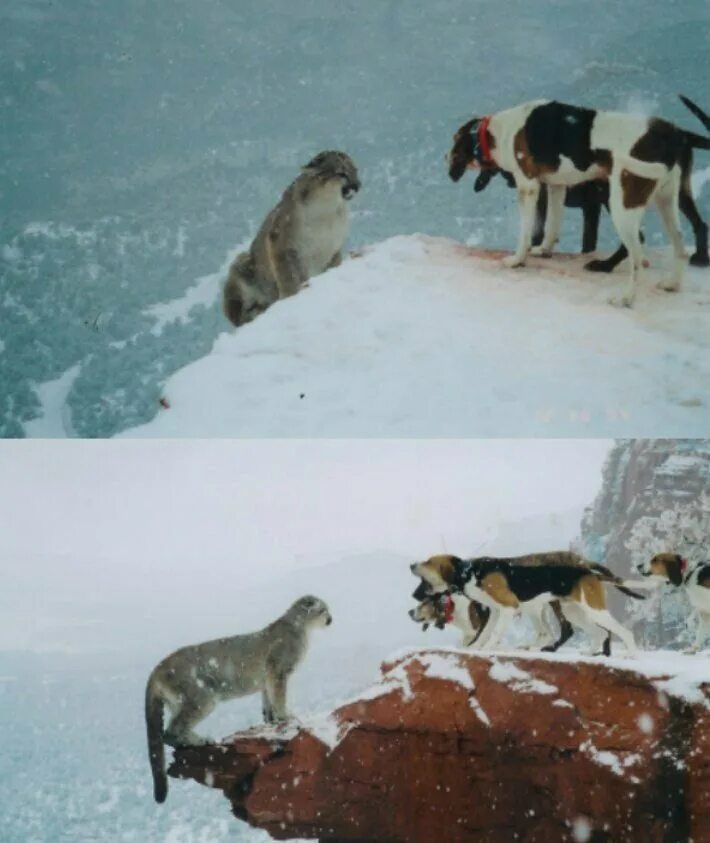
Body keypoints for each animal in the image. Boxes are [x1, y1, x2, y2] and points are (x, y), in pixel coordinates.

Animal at [408, 556, 648, 656]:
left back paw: (632, 656)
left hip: (592, 610)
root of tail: (590, 572)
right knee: (599, 634)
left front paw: (484, 650)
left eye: (428, 561)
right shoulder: (494, 612)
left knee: (623, 632)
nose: (411, 565)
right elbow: (483, 635)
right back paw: (588, 654)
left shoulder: (508, 607)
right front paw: (475, 649)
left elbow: (493, 635)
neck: (471, 573)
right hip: (574, 612)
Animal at [450, 99, 710, 306]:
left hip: (623, 206)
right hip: (668, 201)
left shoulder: (529, 187)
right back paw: (672, 284)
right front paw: (544, 250)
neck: (497, 132)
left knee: (637, 259)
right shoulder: (555, 187)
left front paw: (517, 260)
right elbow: (552, 226)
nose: (445, 158)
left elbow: (525, 234)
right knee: (680, 249)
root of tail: (674, 136)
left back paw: (625, 298)